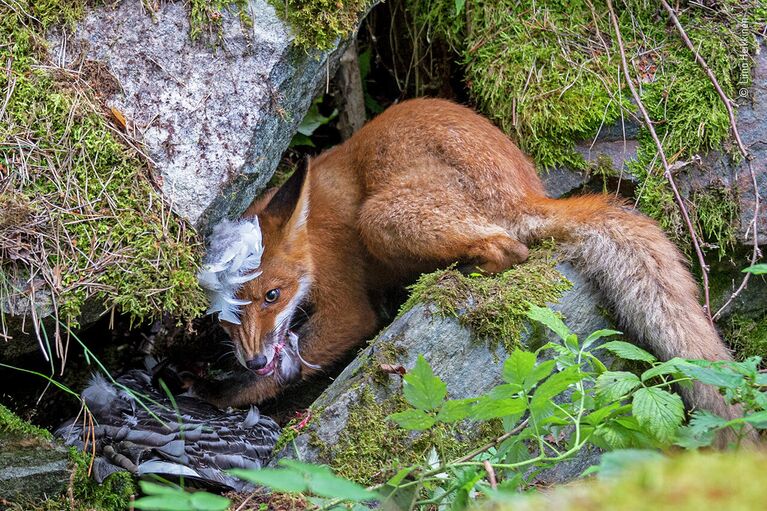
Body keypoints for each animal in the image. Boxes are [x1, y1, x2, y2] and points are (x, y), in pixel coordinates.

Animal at [198, 98, 736, 422]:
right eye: (225, 317)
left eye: (273, 295)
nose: (255, 358)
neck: (313, 234)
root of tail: (526, 191)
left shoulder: (347, 305)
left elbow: (298, 359)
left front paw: (220, 394)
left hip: (382, 218)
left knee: (510, 248)